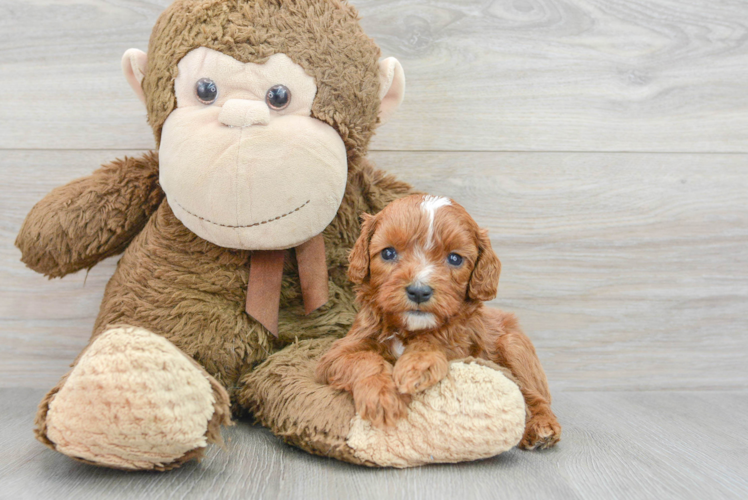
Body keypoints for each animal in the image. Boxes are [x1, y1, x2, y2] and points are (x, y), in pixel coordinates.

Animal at [318, 194, 560, 450]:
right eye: (388, 253)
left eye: (454, 258)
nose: (418, 291)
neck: (408, 329)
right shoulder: (337, 353)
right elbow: (364, 359)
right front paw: (383, 397)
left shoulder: (461, 344)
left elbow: (435, 341)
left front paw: (416, 366)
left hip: (514, 345)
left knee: (535, 396)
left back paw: (542, 427)